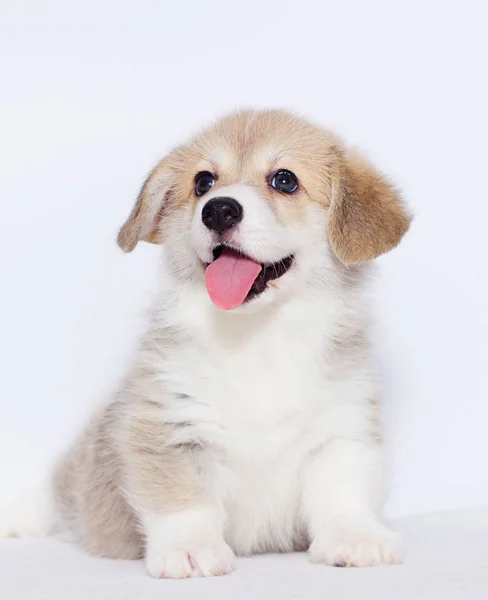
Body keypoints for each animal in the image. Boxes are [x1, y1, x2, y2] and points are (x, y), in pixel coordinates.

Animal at [1, 110, 410, 580]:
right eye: (203, 182)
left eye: (285, 180)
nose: (218, 209)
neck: (258, 335)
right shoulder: (171, 426)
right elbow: (183, 501)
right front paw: (190, 550)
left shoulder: (341, 429)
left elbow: (342, 493)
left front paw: (355, 539)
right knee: (55, 490)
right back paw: (17, 518)